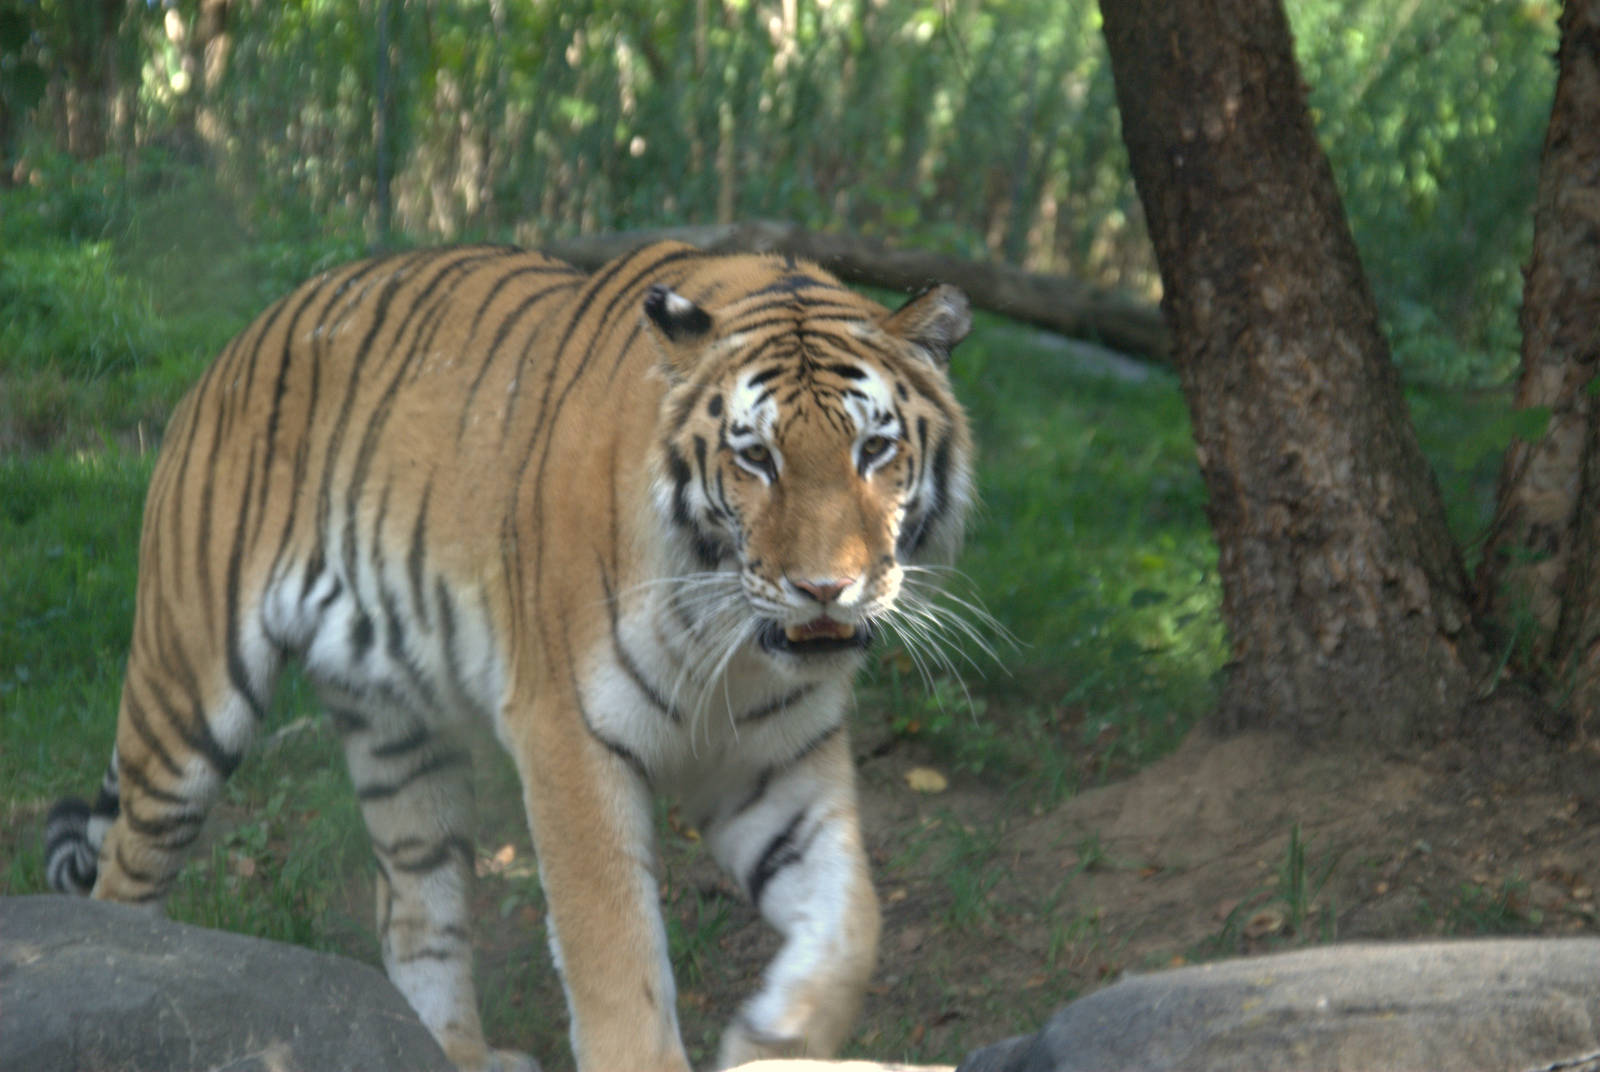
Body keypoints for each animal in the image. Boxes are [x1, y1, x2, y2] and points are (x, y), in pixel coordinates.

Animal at [43, 240, 976, 1072]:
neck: (736, 646)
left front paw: (769, 1041)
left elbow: (853, 920)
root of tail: (240, 340)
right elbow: (615, 955)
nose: (825, 588)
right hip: (186, 696)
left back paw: (458, 1055)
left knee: (415, 908)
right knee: (122, 877)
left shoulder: (778, 757)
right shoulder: (568, 734)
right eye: (757, 458)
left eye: (873, 450)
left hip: (400, 739)